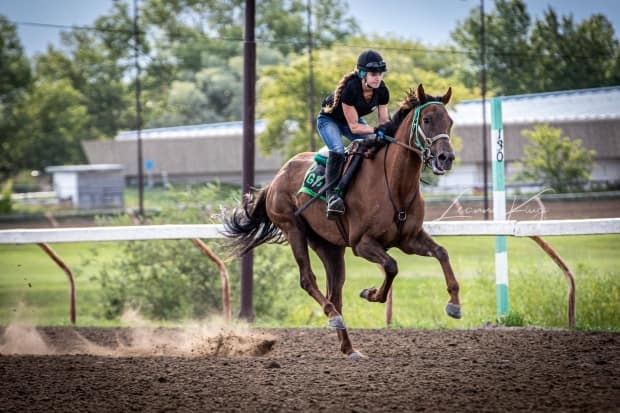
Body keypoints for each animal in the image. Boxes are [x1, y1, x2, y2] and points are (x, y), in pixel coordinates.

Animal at [223, 83, 460, 358]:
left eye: (450, 121)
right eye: (427, 119)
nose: (446, 158)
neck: (395, 184)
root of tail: (275, 180)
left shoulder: (409, 239)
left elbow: (441, 253)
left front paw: (454, 305)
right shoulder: (362, 243)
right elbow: (391, 266)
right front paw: (371, 293)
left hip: (330, 246)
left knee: (335, 293)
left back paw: (348, 347)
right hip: (294, 229)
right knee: (308, 280)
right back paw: (333, 317)